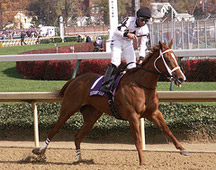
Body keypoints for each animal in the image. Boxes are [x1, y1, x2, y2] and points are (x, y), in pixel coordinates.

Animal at [32, 40, 189, 165]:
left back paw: (79, 159)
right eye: (167, 60)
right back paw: (40, 151)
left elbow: (167, 130)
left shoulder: (154, 113)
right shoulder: (132, 116)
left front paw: (182, 149)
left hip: (91, 117)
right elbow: (137, 140)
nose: (181, 78)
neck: (141, 85)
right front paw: (142, 162)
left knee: (77, 136)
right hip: (68, 109)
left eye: (176, 57)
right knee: (54, 129)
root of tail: (74, 80)